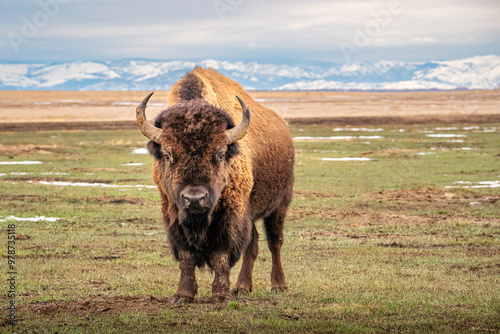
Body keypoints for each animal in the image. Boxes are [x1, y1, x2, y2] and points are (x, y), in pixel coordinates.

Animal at [135, 68, 294, 302]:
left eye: (219, 154)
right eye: (168, 155)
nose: (195, 199)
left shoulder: (230, 215)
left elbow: (221, 255)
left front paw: (220, 295)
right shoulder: (173, 214)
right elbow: (186, 257)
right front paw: (182, 294)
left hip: (279, 204)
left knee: (274, 242)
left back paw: (278, 285)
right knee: (252, 244)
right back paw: (242, 287)